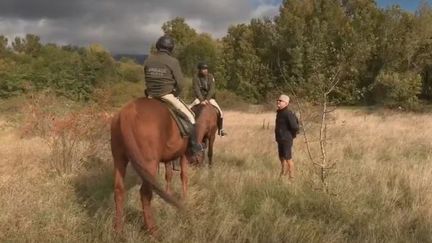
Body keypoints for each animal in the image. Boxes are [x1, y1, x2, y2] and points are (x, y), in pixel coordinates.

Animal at [111, 98, 199, 234]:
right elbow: (184, 176)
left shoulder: (168, 158)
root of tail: (127, 113)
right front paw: (185, 199)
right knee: (145, 194)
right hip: (149, 164)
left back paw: (118, 229)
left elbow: (169, 175)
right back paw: (152, 230)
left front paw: (169, 194)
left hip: (119, 160)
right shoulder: (184, 154)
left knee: (119, 190)